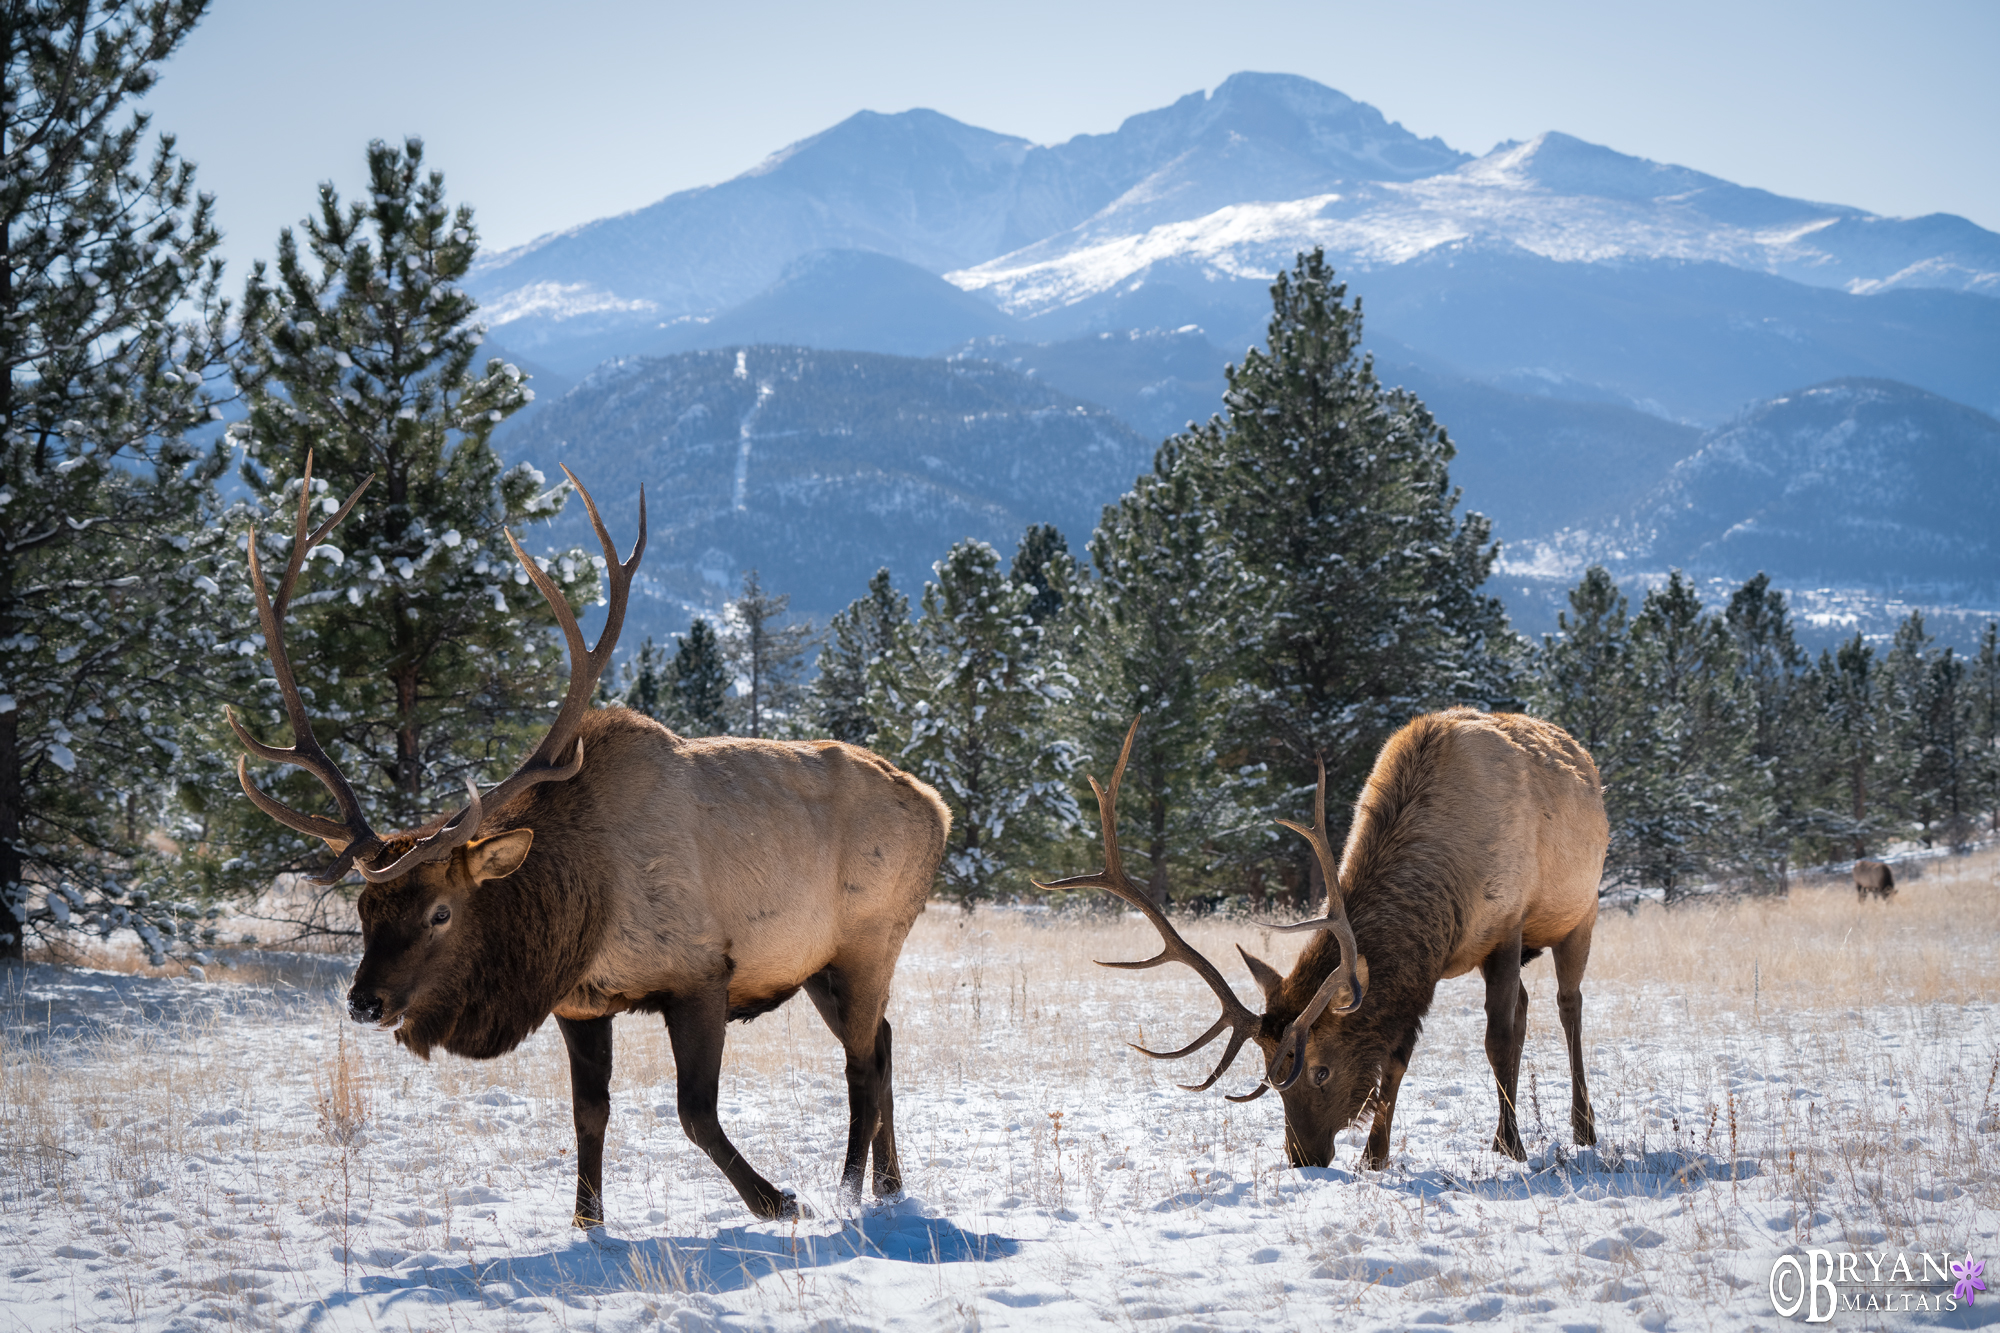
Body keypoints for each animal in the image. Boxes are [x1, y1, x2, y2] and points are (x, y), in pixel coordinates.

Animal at [230, 460, 948, 1224]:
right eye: (365, 909)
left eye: (440, 912)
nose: (364, 1001)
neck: (578, 908)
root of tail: (939, 808)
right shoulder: (580, 1003)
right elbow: (589, 1112)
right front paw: (587, 1218)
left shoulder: (700, 972)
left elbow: (695, 1112)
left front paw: (777, 1199)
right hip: (817, 962)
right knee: (884, 1041)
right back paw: (890, 1183)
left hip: (871, 937)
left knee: (863, 1060)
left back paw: (848, 1189)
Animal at [1048, 704, 1608, 1160]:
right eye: (1270, 1074)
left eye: (1320, 1070)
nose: (1302, 1158)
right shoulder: (1418, 975)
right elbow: (1396, 1056)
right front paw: (1375, 1157)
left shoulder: (1508, 927)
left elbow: (1498, 1038)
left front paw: (1508, 1146)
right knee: (1529, 1005)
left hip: (1582, 911)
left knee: (1568, 1005)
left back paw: (1583, 1128)